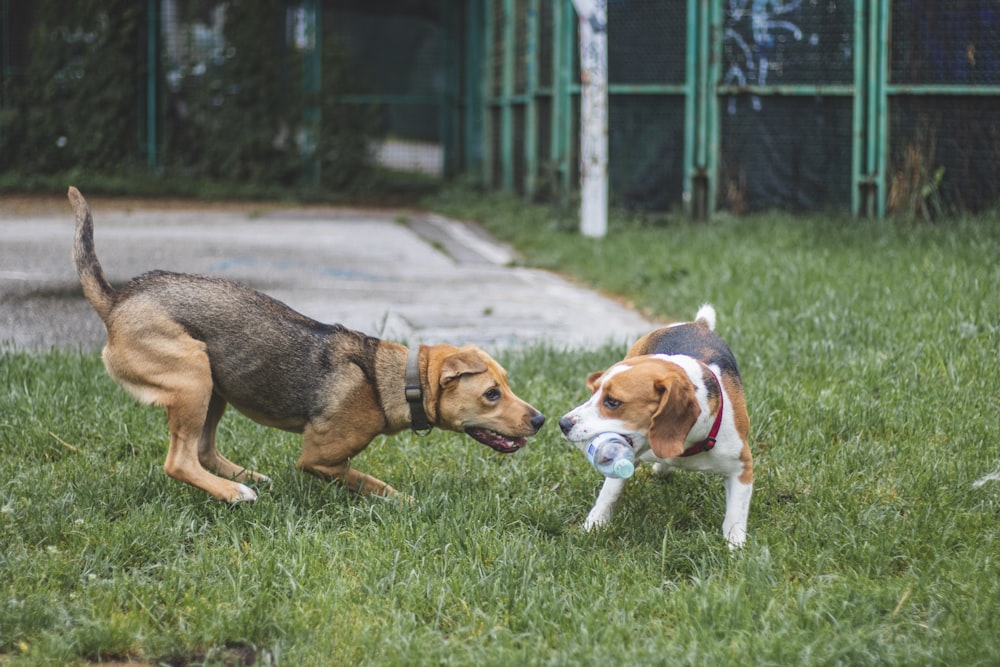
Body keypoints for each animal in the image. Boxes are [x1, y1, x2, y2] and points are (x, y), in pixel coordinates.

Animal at [68, 185, 548, 504]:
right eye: (492, 394)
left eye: (506, 384)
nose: (541, 420)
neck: (393, 379)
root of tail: (115, 300)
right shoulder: (319, 458)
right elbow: (369, 481)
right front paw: (403, 503)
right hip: (192, 376)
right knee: (180, 461)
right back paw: (235, 492)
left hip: (214, 385)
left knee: (203, 450)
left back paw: (246, 478)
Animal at [560, 306, 752, 552]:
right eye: (593, 393)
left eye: (612, 402)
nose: (563, 423)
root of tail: (696, 324)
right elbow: (608, 494)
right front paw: (593, 525)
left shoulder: (742, 466)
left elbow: (736, 515)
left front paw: (735, 548)